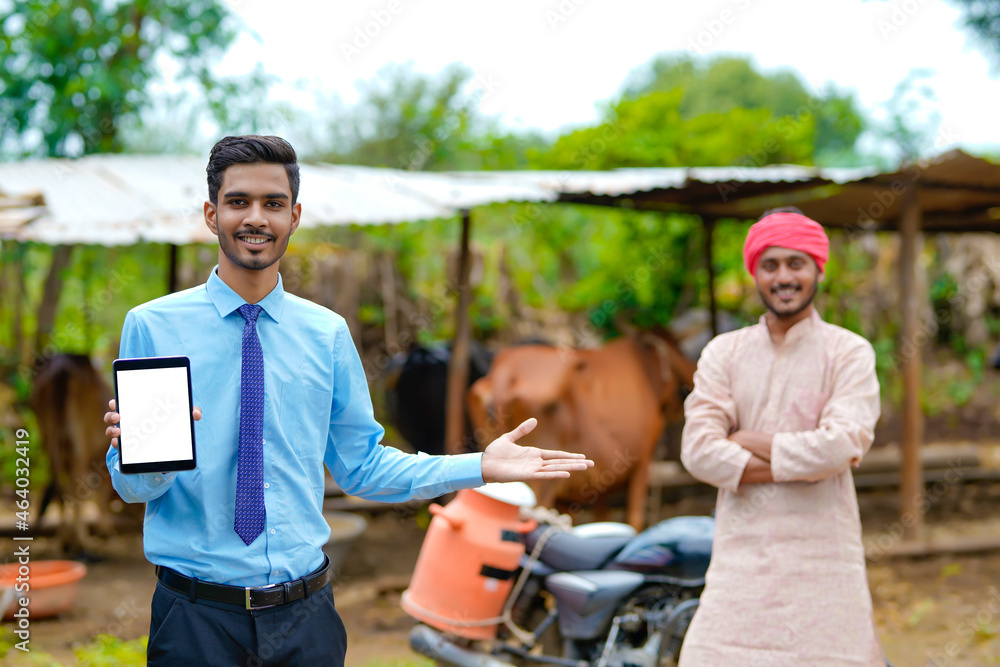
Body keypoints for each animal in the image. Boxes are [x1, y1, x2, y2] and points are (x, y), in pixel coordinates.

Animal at [31, 354, 116, 552]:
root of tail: (62, 366)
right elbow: (99, 495)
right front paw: (104, 530)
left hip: (49, 437)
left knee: (59, 488)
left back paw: (63, 540)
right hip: (80, 442)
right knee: (76, 488)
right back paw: (81, 542)